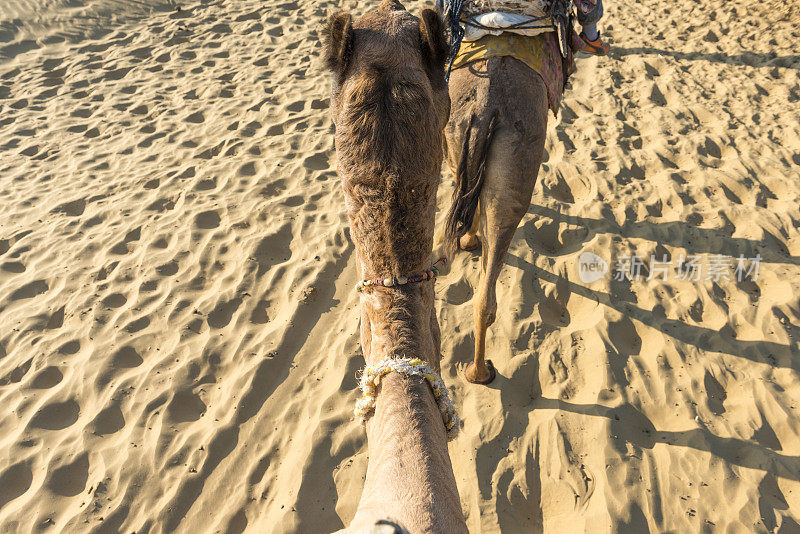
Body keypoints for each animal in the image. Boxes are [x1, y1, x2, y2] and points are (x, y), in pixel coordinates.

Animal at [438, 32, 568, 386]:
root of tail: (485, 107)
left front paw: (468, 240)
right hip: (519, 154)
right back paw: (483, 372)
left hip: (455, 133)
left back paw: (476, 372)